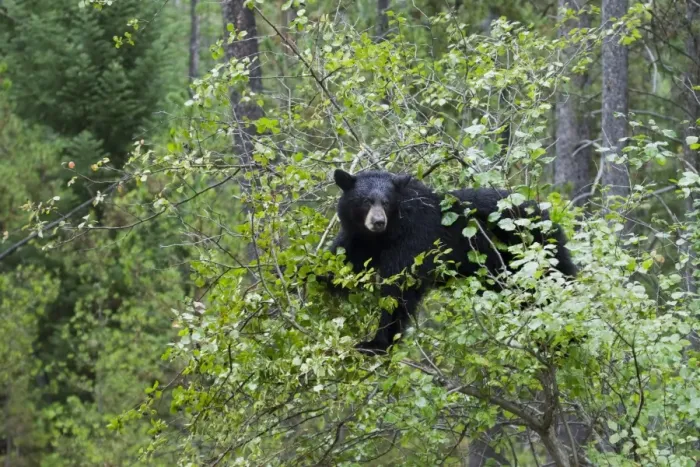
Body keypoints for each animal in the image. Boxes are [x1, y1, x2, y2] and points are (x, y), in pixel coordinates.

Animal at [326, 169, 577, 355]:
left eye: (386, 202)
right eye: (365, 201)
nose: (378, 221)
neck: (385, 235)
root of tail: (549, 216)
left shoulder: (414, 239)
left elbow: (399, 288)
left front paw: (376, 344)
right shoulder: (358, 240)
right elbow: (339, 265)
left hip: (534, 252)